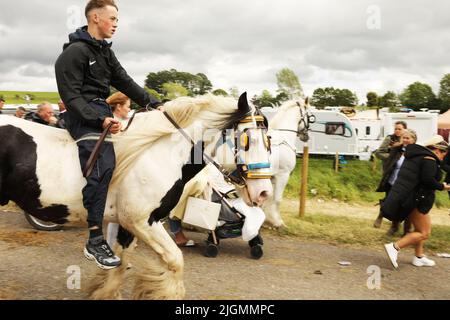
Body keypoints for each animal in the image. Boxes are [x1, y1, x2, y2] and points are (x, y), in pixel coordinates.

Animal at [0, 93, 270, 300]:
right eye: (247, 140)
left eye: (269, 140)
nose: (264, 192)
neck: (156, 154)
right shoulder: (141, 221)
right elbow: (175, 260)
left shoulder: (126, 224)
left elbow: (121, 263)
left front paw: (104, 294)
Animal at [262, 98, 312, 228]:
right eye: (310, 116)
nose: (306, 136)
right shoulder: (282, 175)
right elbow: (277, 199)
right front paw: (277, 222)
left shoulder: (271, 177)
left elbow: (268, 198)